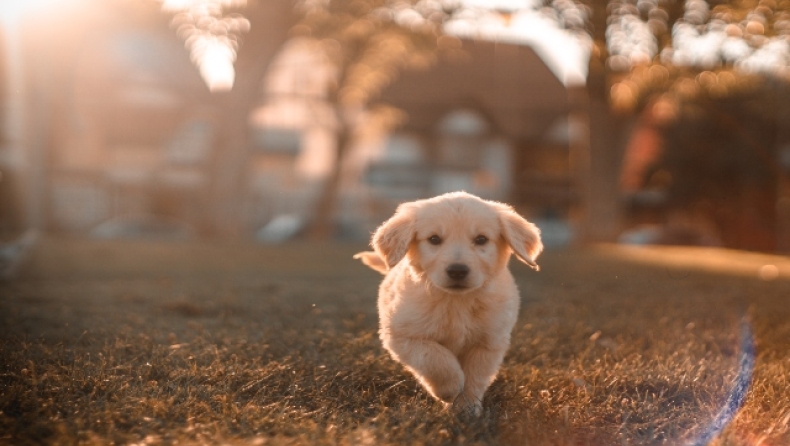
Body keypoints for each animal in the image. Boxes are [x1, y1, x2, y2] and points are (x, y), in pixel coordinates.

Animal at [358, 192, 544, 414]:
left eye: (481, 239)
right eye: (434, 239)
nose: (457, 271)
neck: (456, 302)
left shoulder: (489, 342)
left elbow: (475, 377)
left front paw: (467, 407)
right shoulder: (402, 335)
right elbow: (434, 358)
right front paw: (450, 388)